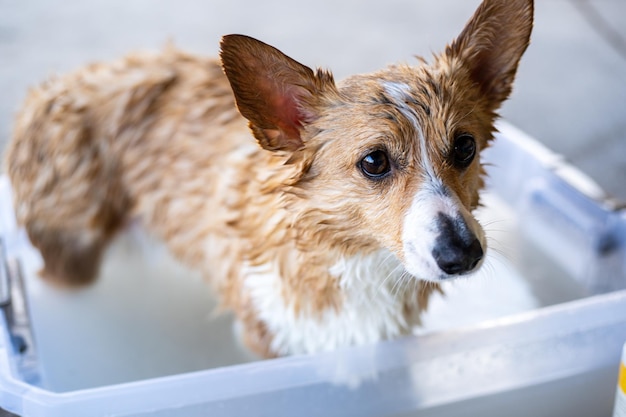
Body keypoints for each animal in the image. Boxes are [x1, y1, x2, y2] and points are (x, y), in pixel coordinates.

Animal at [3, 0, 532, 358]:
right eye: (374, 162)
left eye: (464, 147)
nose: (462, 255)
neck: (354, 259)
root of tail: (54, 86)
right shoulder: (266, 338)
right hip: (72, 251)